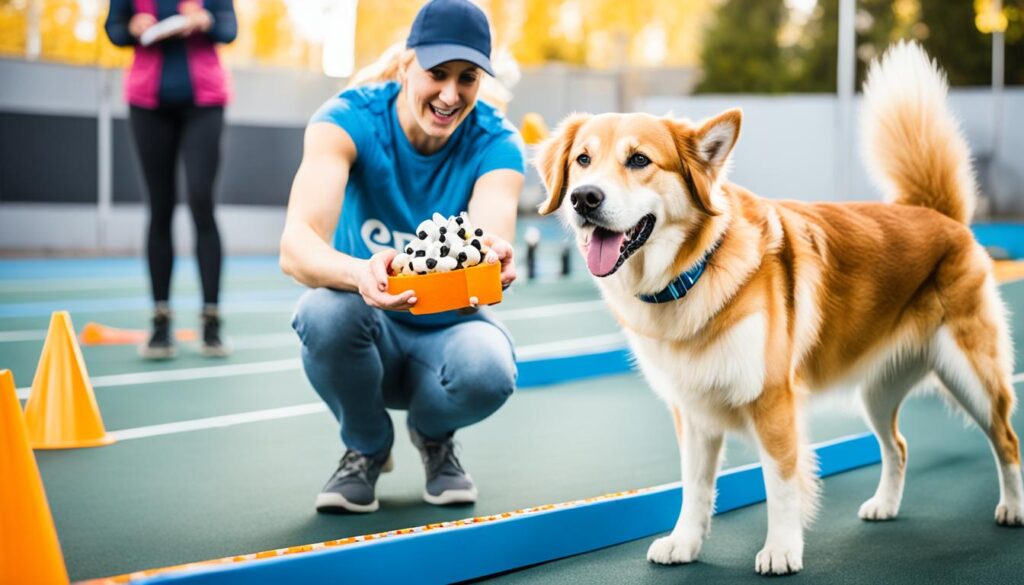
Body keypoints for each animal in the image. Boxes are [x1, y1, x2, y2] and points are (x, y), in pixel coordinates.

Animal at [532, 42, 1019, 577]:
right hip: (876, 391)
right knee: (899, 446)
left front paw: (782, 550)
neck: (693, 271)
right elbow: (695, 487)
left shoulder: (772, 401)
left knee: (1006, 441)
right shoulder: (693, 411)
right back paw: (885, 506)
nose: (584, 198)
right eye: (582, 160)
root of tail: (937, 214)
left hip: (972, 376)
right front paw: (684, 543)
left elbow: (781, 483)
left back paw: (1012, 508)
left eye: (639, 160)